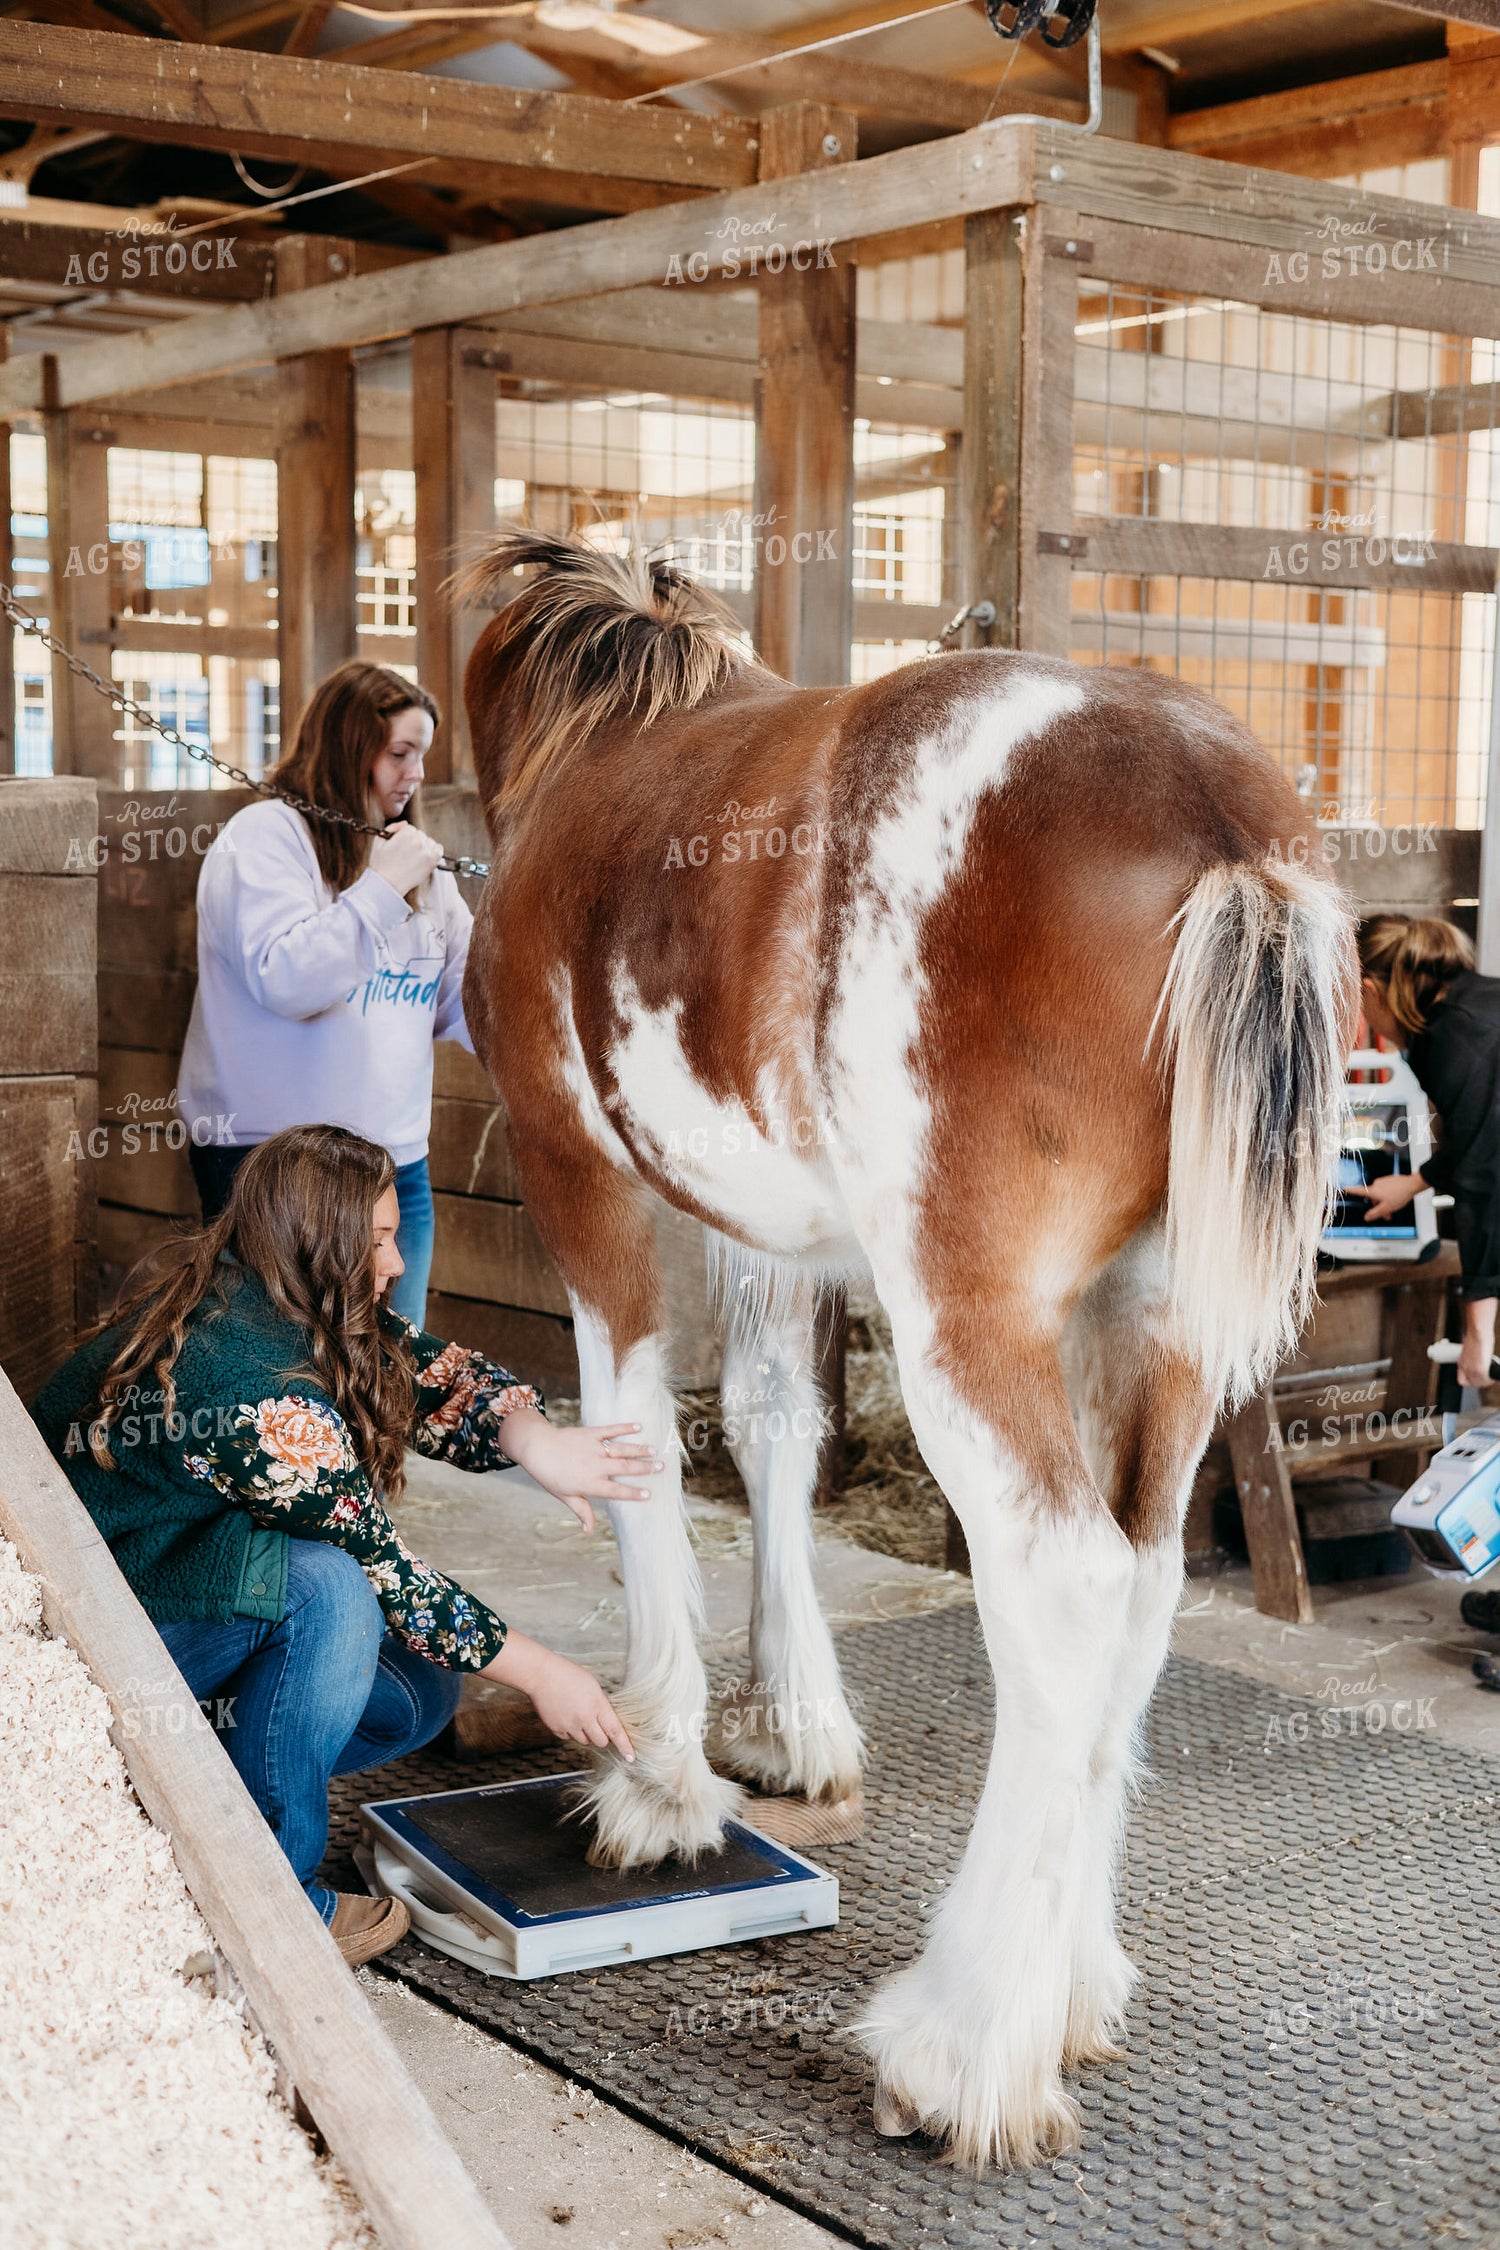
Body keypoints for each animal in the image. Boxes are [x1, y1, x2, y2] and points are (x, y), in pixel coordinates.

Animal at [458, 527, 1357, 2171]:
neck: (604, 750)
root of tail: (1223, 823)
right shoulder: (764, 1227)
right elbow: (770, 1429)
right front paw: (793, 1726)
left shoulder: (582, 1184)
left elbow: (634, 1439)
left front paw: (658, 1776)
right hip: (1159, 1333)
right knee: (1138, 1591)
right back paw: (1069, 1985)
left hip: (970, 1326)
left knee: (1063, 1591)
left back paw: (960, 2046)